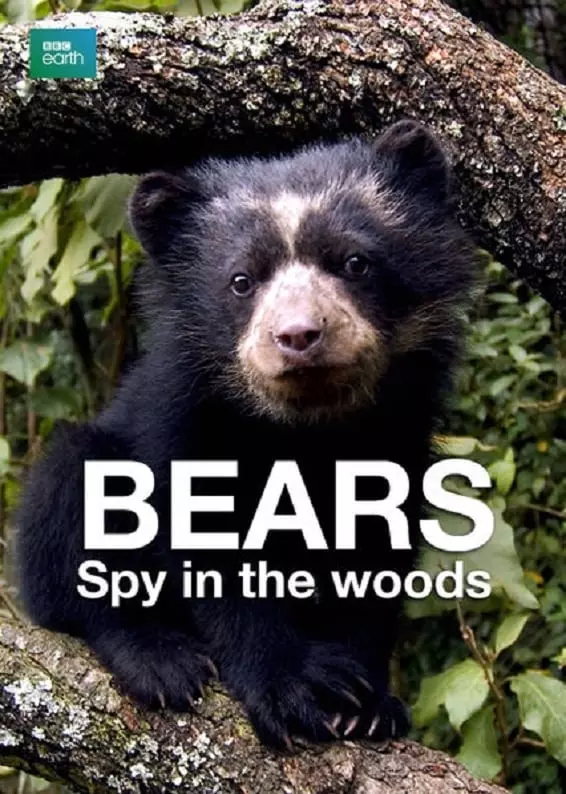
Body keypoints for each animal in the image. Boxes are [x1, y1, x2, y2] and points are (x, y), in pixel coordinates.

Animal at [14, 120, 480, 751]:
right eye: (241, 281)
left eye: (354, 262)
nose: (299, 335)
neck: (304, 427)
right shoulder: (181, 420)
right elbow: (209, 553)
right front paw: (291, 691)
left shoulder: (400, 428)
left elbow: (376, 549)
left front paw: (368, 703)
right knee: (71, 493)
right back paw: (159, 659)